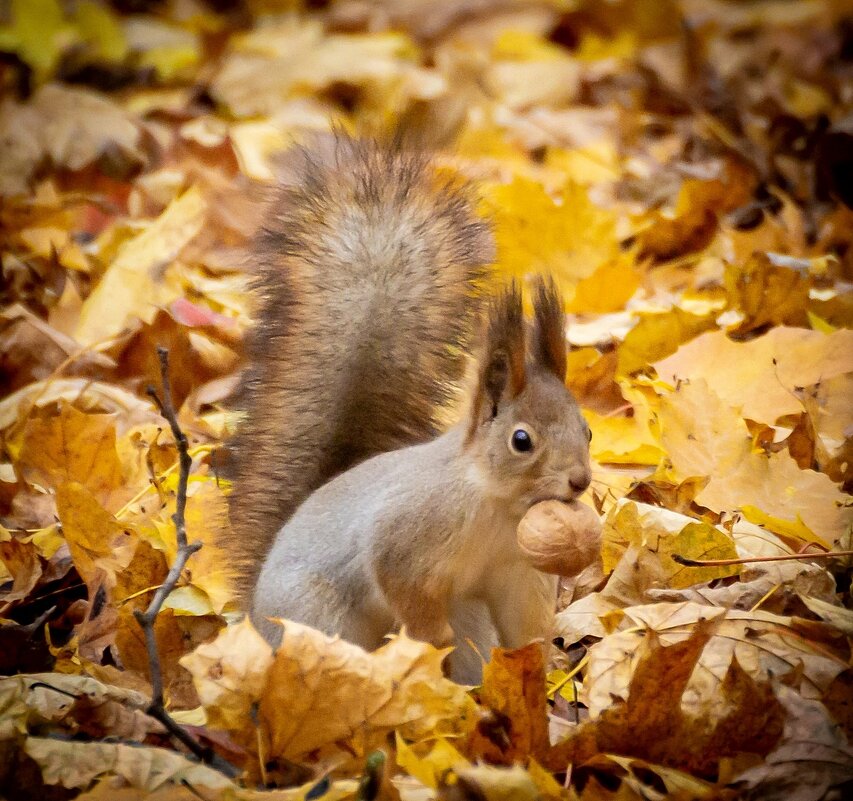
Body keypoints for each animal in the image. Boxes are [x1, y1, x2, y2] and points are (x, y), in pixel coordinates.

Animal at [225, 133, 592, 680]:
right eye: (521, 440)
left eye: (587, 430)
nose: (580, 481)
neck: (498, 507)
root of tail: (252, 617)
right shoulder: (407, 533)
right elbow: (399, 581)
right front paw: (431, 638)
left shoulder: (517, 574)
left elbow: (525, 625)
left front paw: (538, 665)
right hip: (316, 616)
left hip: (470, 615)